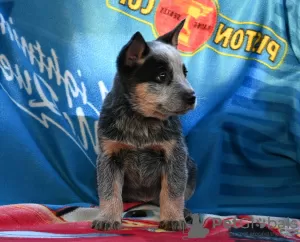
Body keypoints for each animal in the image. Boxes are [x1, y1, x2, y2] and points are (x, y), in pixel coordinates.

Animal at [92, 19, 198, 232]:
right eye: (162, 75)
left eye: (184, 73)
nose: (192, 97)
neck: (141, 120)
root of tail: (145, 199)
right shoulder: (109, 156)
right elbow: (109, 191)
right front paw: (108, 217)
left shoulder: (175, 155)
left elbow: (173, 191)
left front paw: (173, 218)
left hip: (191, 166)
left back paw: (184, 212)